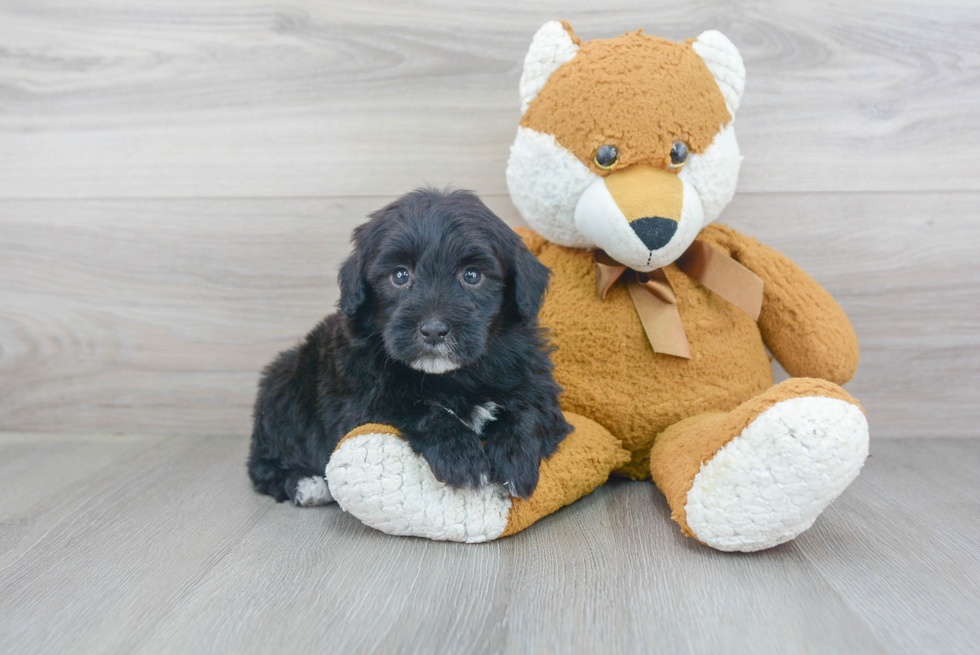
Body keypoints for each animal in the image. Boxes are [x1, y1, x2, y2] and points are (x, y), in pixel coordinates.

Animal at [247, 190, 576, 508]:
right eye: (400, 275)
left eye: (472, 275)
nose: (433, 330)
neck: (452, 377)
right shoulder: (357, 402)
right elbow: (416, 408)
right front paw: (461, 455)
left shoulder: (535, 379)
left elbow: (529, 409)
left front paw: (514, 457)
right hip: (283, 386)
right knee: (263, 465)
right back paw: (307, 485)